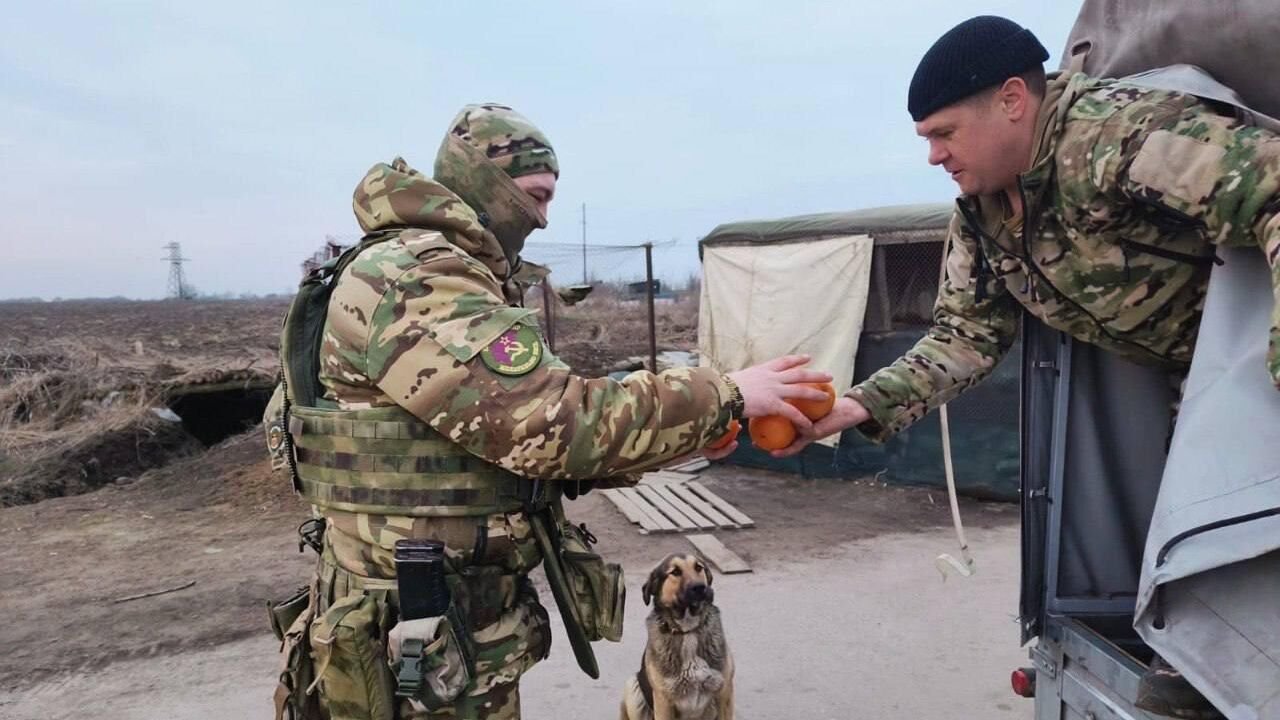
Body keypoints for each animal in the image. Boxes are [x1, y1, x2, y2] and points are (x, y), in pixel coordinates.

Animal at [622, 550, 737, 712]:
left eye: (698, 567)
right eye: (675, 572)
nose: (700, 587)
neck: (688, 630)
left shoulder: (724, 692)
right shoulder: (663, 701)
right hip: (632, 687)